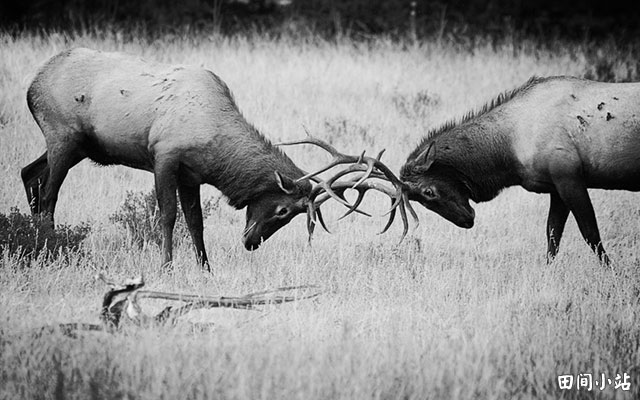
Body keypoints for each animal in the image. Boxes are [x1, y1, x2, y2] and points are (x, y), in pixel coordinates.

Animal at [398, 76, 636, 266]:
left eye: (429, 192)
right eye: (421, 201)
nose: (466, 221)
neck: (509, 152)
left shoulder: (569, 177)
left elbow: (590, 233)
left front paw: (612, 272)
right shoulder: (556, 187)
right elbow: (552, 236)